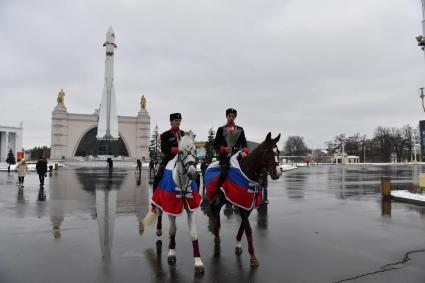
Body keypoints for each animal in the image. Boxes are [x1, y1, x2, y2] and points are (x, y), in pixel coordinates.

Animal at [143, 133, 205, 276]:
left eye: (195, 150)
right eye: (181, 152)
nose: (193, 173)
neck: (182, 182)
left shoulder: (191, 209)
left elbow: (193, 233)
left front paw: (198, 262)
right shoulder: (171, 208)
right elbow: (172, 230)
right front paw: (171, 253)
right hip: (159, 199)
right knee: (159, 212)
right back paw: (159, 230)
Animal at [206, 132, 282, 268]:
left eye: (277, 151)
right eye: (267, 151)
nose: (277, 173)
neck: (248, 173)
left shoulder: (247, 206)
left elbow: (243, 227)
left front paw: (238, 245)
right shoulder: (241, 205)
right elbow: (248, 229)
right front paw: (253, 257)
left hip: (222, 199)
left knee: (216, 211)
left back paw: (217, 233)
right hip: (213, 197)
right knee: (214, 212)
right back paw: (216, 235)